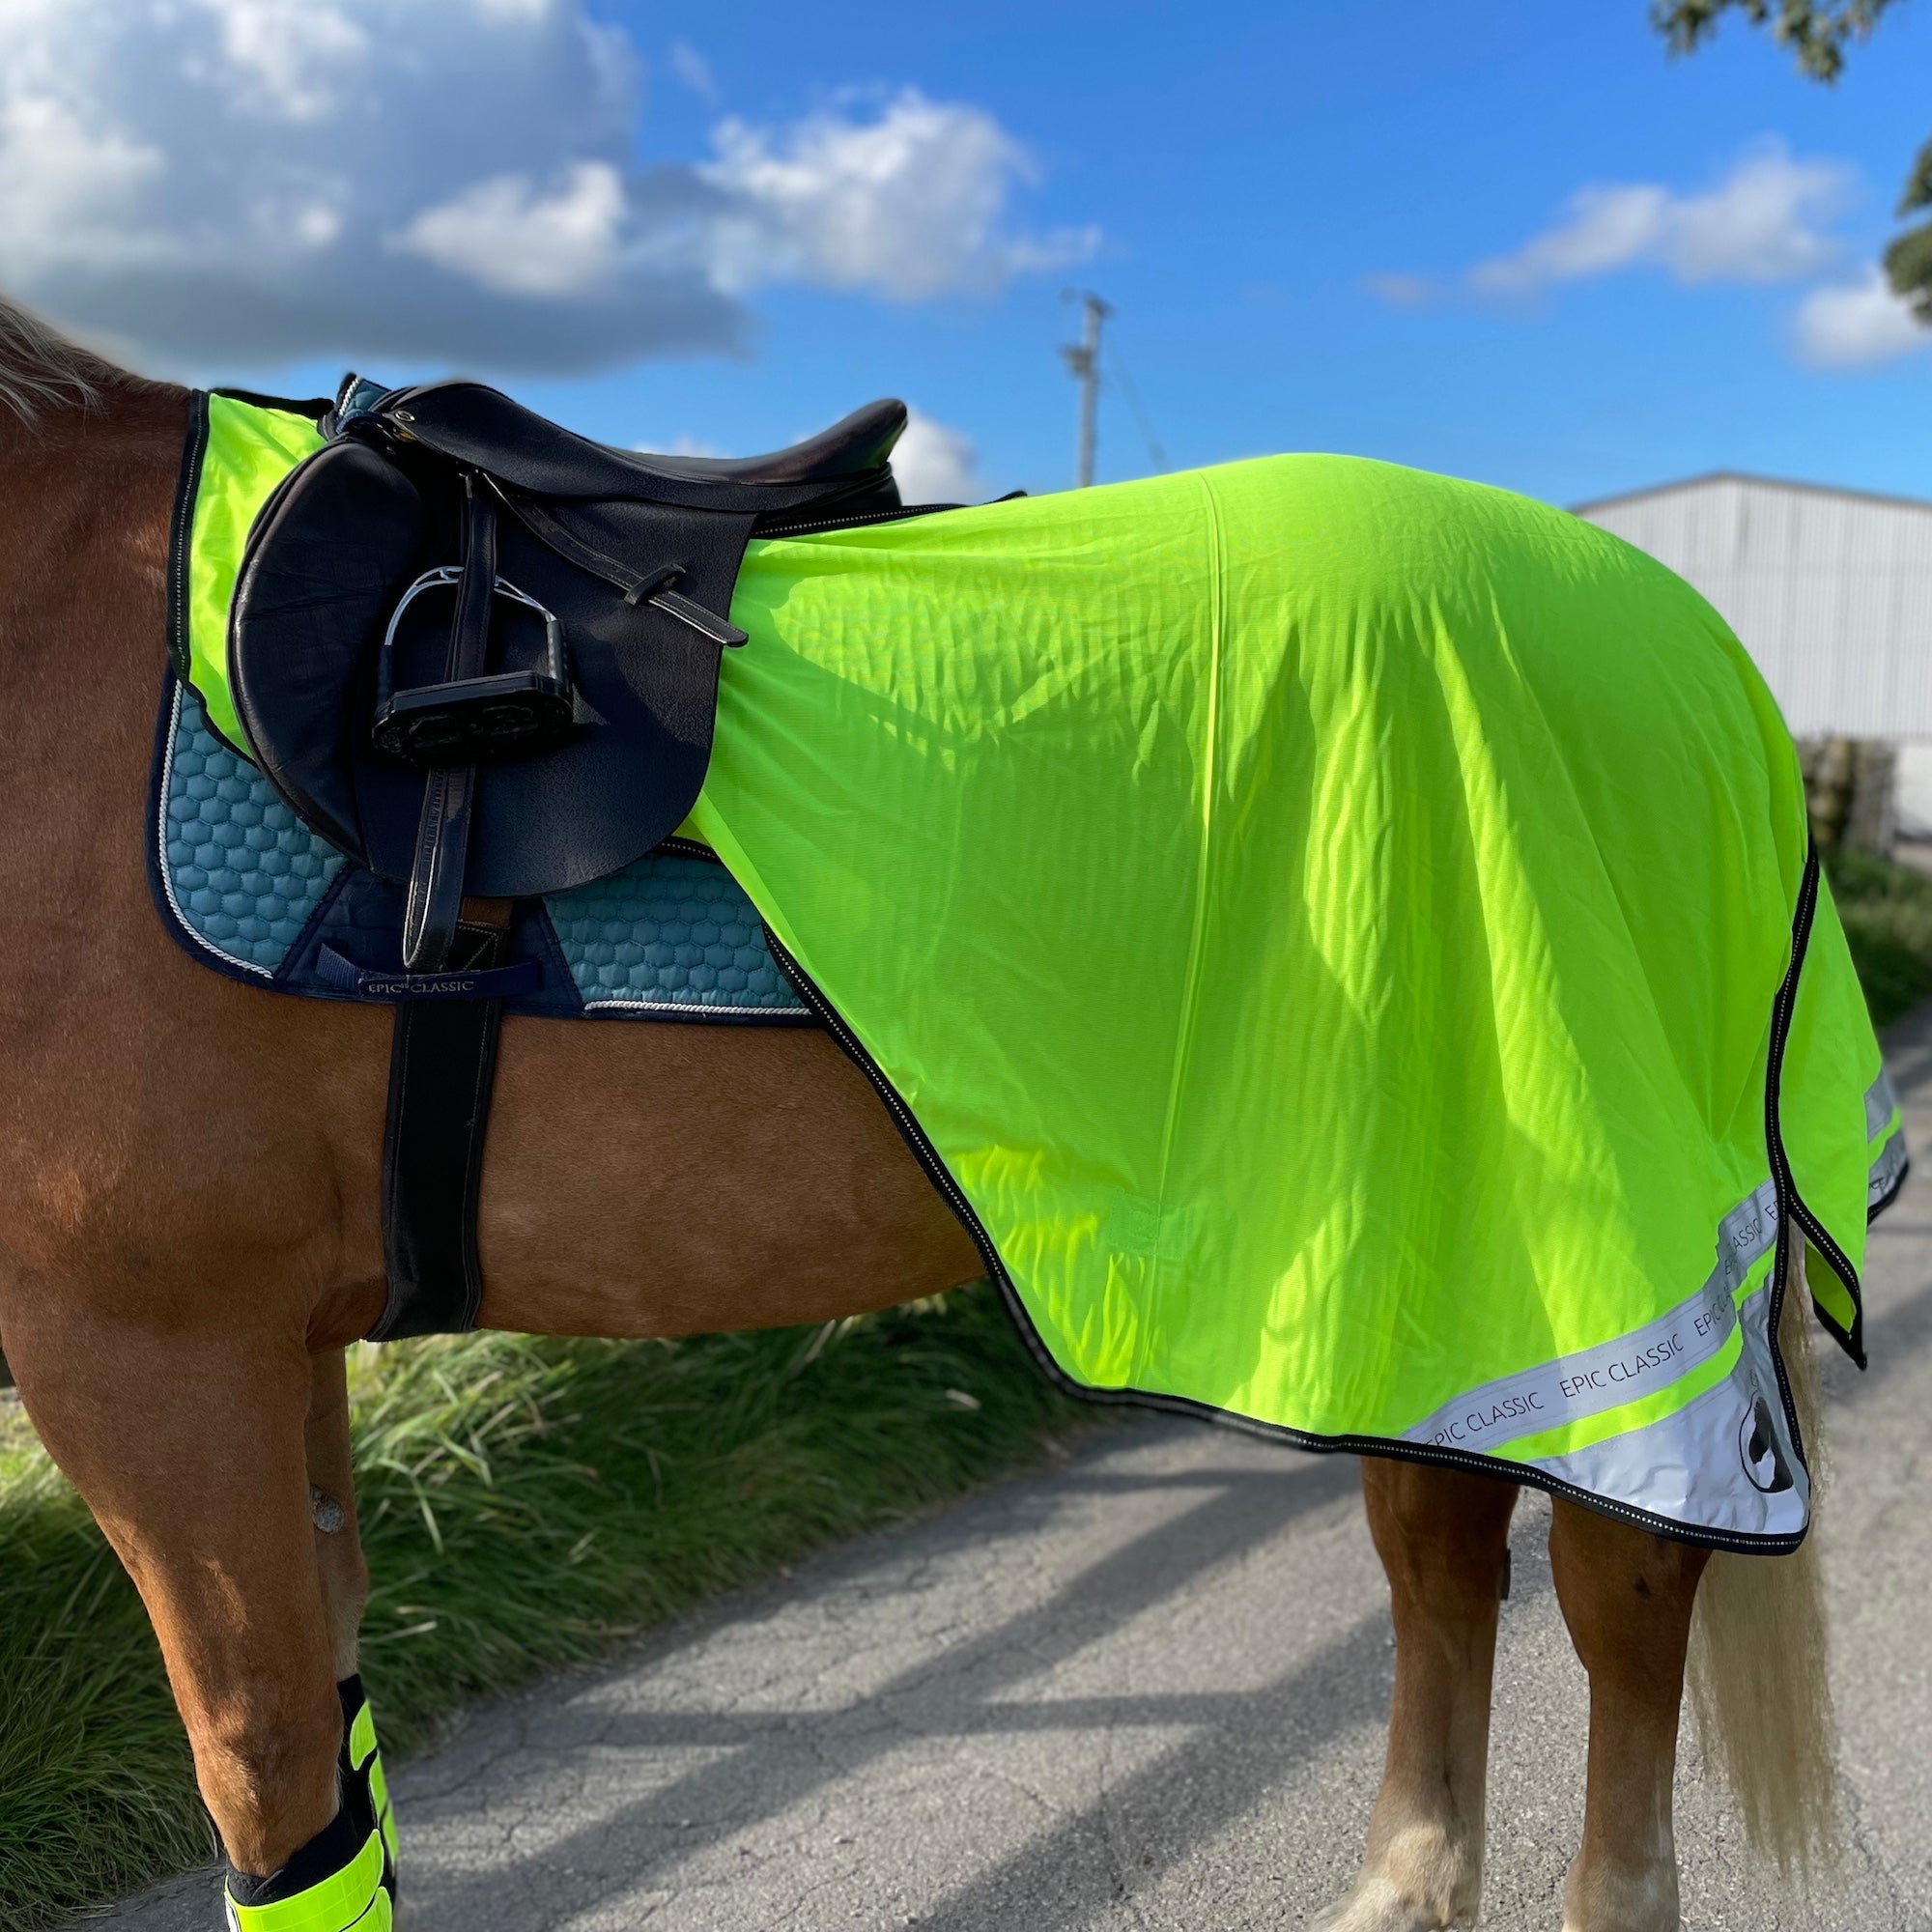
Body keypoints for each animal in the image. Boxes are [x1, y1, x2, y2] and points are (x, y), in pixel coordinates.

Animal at [0, 295, 1838, 1932]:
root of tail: (1701, 650)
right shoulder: (272, 1349)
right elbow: (332, 1758)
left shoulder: (150, 1357)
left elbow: (272, 1800)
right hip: (1426, 1269)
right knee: (1443, 1559)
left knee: (1625, 1603)